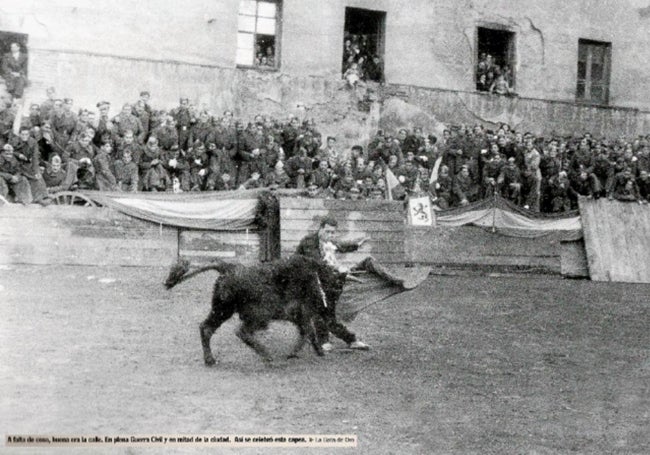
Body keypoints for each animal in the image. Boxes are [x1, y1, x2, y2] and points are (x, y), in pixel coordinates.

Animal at [162, 256, 354, 366]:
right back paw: (268, 357)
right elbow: (308, 332)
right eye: (337, 287)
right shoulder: (303, 313)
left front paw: (309, 352)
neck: (316, 275)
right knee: (241, 331)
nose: (332, 315)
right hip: (258, 315)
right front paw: (310, 352)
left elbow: (307, 332)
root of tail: (228, 268)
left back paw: (210, 360)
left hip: (223, 310)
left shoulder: (299, 316)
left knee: (206, 328)